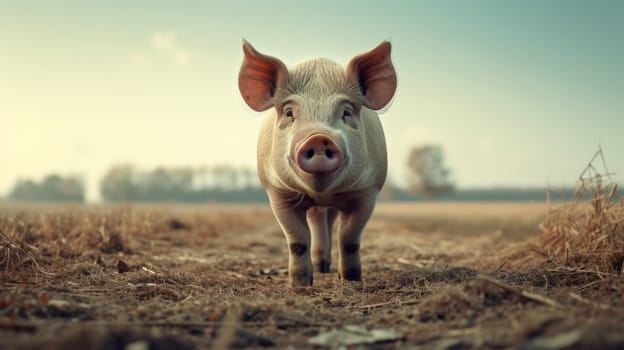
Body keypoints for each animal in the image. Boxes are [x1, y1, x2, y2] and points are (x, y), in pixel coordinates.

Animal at [236, 41, 398, 288]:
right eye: (289, 112)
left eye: (346, 112)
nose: (319, 138)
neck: (323, 192)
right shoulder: (277, 192)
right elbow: (297, 240)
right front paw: (300, 285)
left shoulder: (368, 190)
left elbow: (349, 238)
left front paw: (351, 280)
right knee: (317, 222)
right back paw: (321, 268)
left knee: (329, 223)